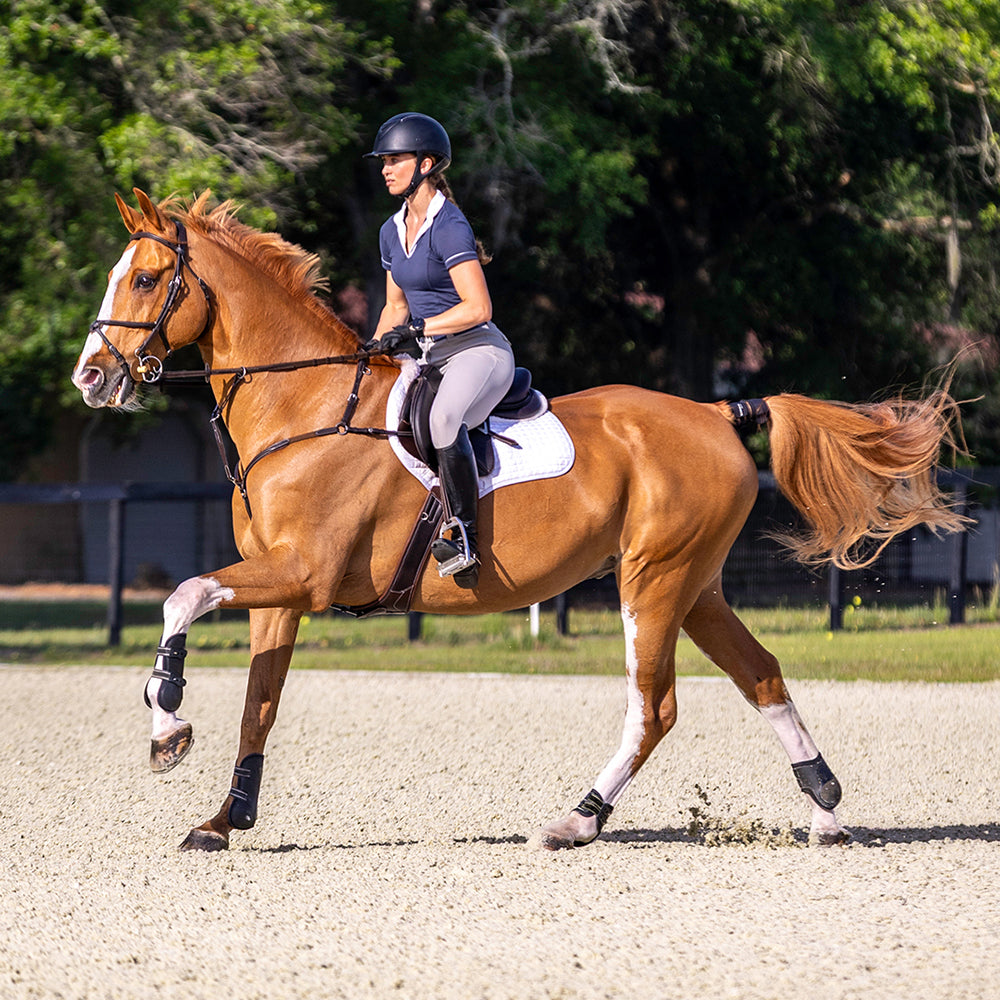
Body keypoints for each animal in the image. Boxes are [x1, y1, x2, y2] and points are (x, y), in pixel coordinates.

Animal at [72, 189, 966, 852]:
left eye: (146, 281)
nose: (90, 378)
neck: (308, 407)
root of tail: (715, 412)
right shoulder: (279, 593)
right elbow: (259, 700)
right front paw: (224, 820)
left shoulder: (303, 577)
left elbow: (181, 595)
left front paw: (167, 722)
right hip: (697, 586)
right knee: (763, 676)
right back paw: (825, 813)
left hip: (654, 581)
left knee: (655, 707)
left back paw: (578, 820)